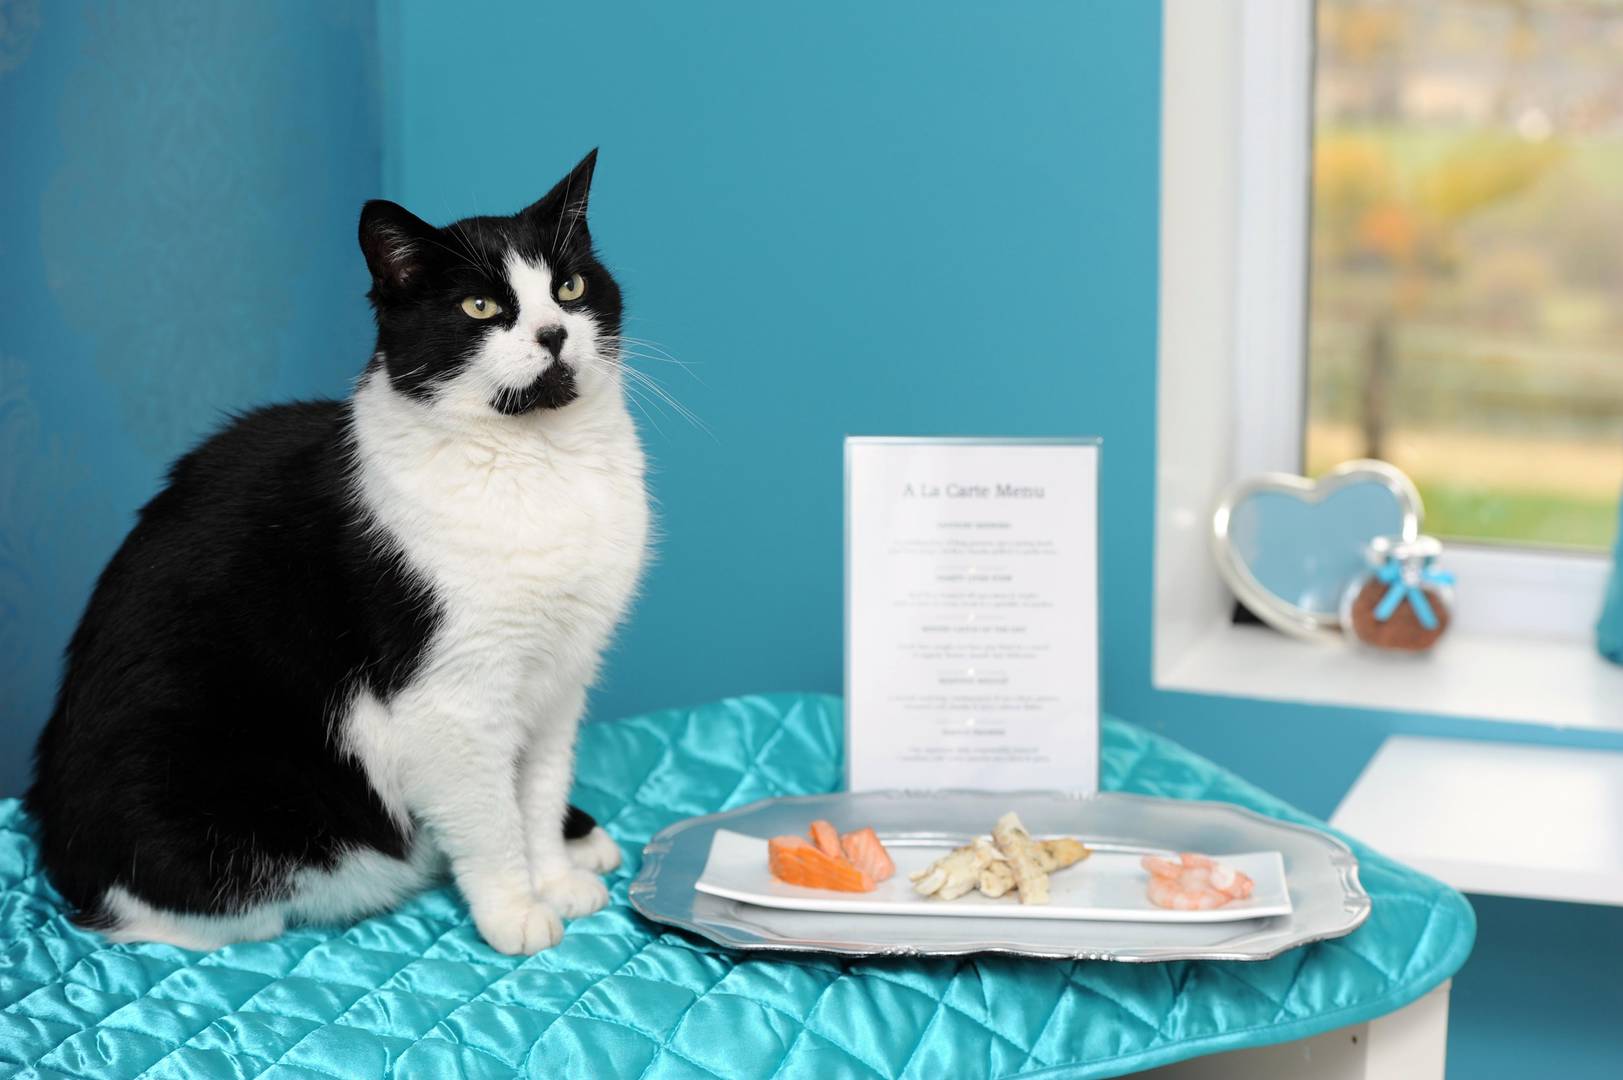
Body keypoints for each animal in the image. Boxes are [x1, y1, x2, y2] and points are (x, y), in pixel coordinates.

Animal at [25, 150, 650, 956]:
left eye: (569, 288)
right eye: (480, 307)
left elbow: (538, 789)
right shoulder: (450, 702)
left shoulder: (559, 683)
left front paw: (555, 874)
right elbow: (489, 818)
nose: (552, 334)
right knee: (184, 918)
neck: (538, 460)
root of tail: (55, 832)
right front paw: (515, 908)